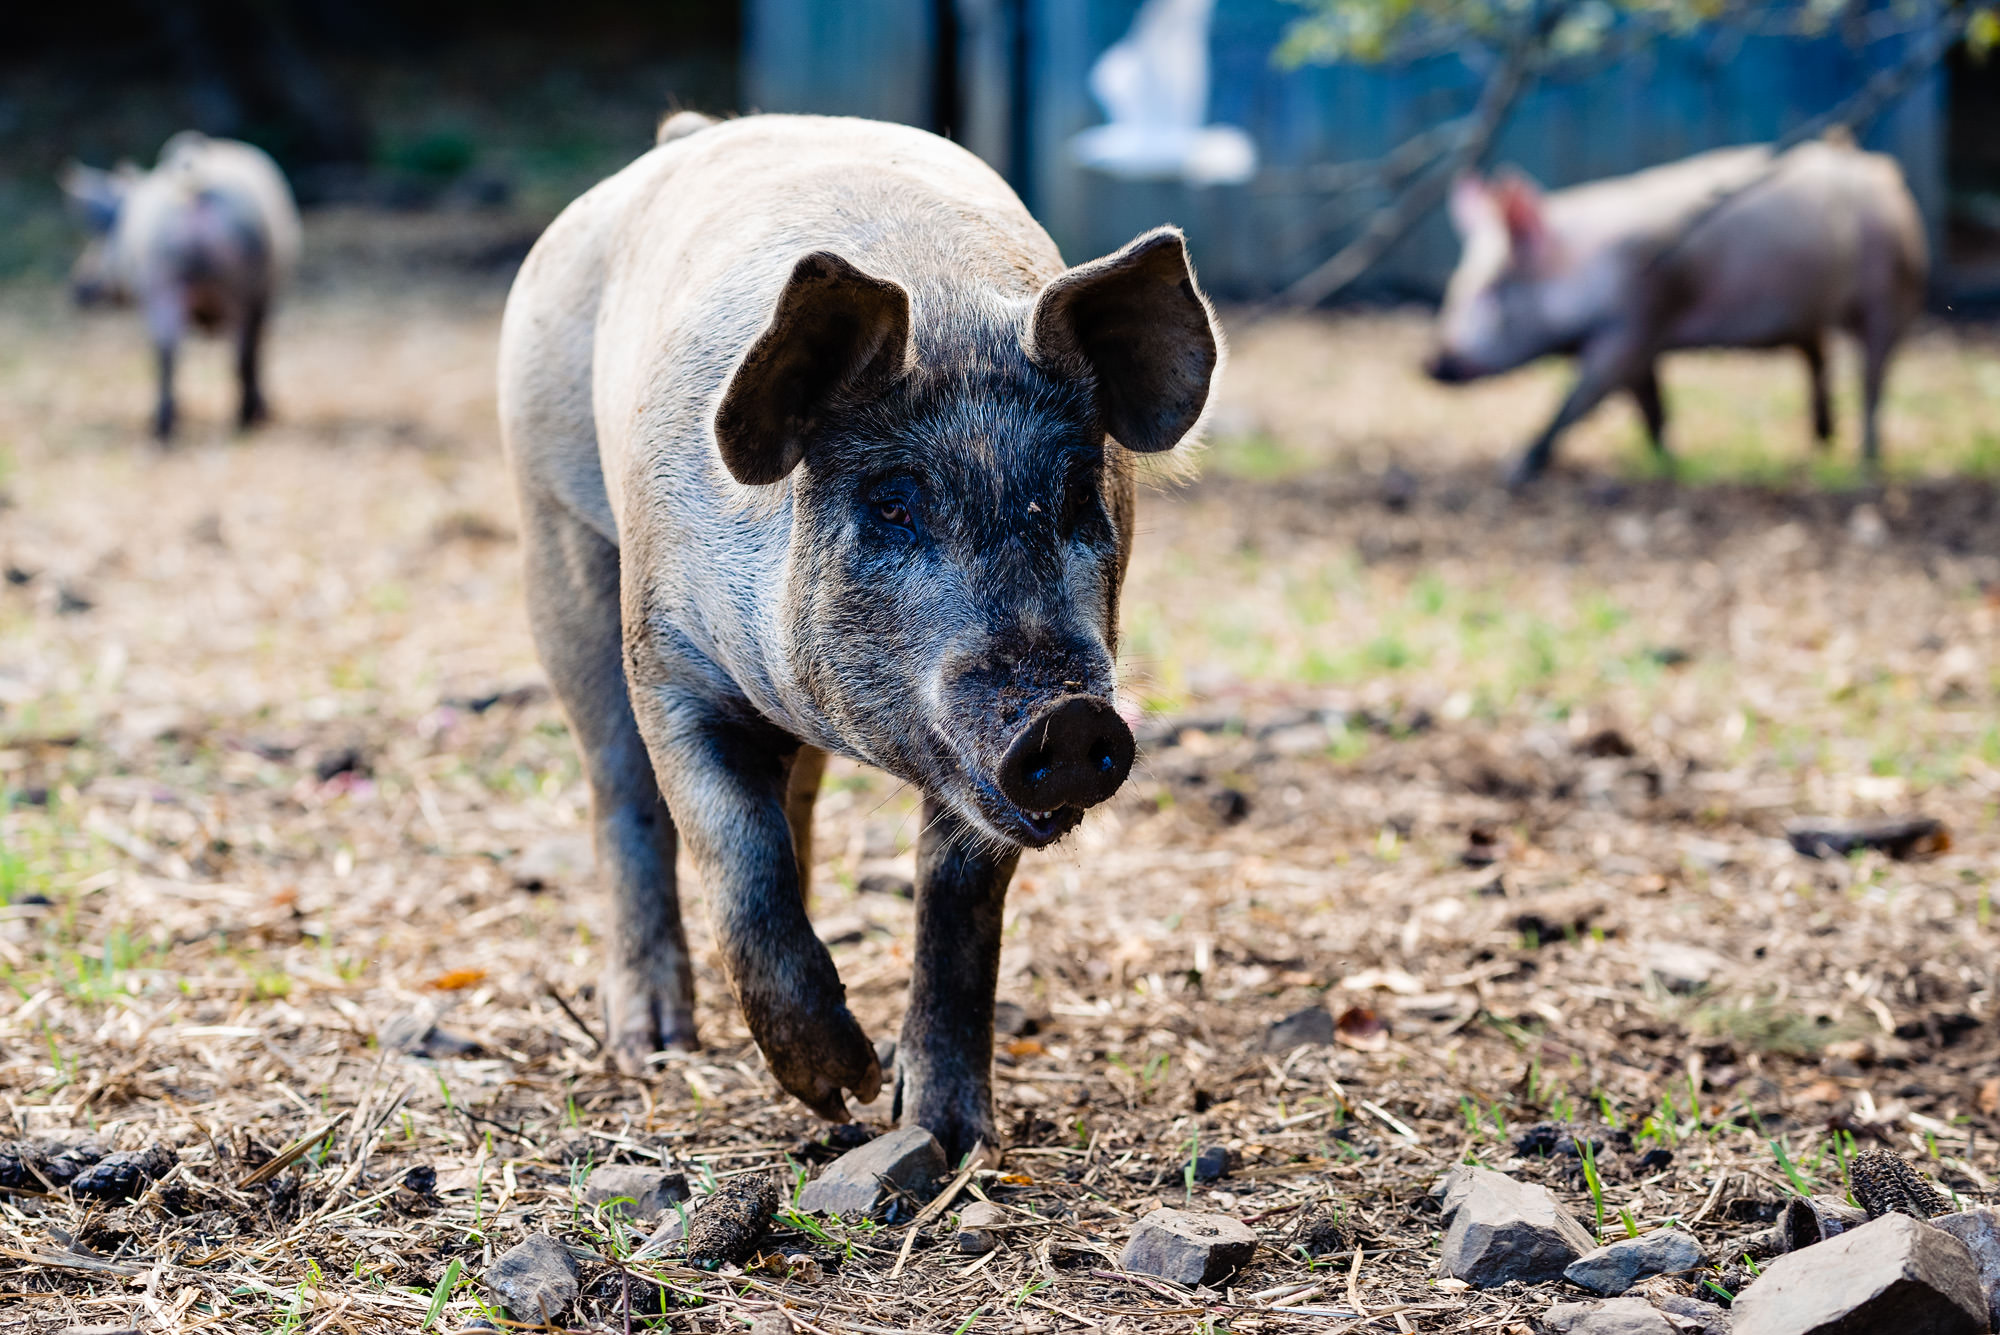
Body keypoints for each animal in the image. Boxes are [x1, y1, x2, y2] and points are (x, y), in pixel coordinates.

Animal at [62, 129, 302, 435]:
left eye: (101, 236)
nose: (77, 287)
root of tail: (193, 184)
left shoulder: (265, 293)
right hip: (218, 284)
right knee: (225, 351)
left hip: (168, 280)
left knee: (174, 350)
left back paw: (167, 427)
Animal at [496, 114, 1216, 1159]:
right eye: (893, 503)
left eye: (1078, 494)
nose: (1074, 718)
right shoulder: (667, 657)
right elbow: (734, 860)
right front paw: (844, 1090)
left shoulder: (972, 770)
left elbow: (958, 909)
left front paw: (946, 1134)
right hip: (553, 525)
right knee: (620, 791)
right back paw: (653, 1045)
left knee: (789, 799)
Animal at [1424, 139, 1920, 485]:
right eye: (1456, 284)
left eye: (1492, 293)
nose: (1431, 364)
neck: (1583, 264)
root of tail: (1884, 171)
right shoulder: (1642, 343)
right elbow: (1651, 406)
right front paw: (1668, 460)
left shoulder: (1635, 320)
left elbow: (1575, 401)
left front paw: (1515, 470)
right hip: (1809, 312)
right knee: (1818, 354)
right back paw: (1821, 439)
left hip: (1890, 290)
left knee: (1873, 377)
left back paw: (1866, 461)